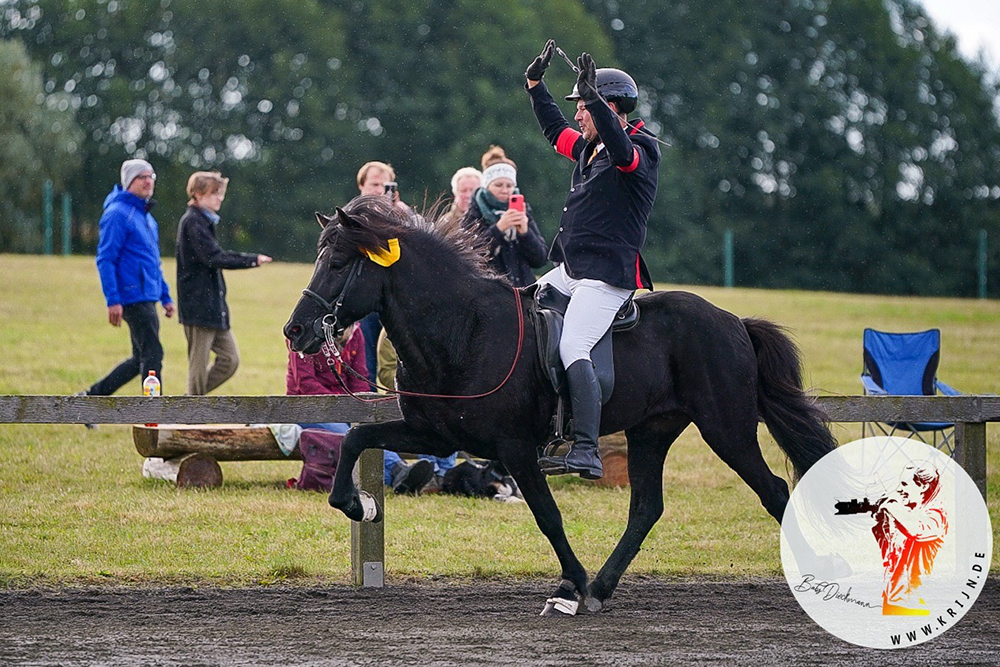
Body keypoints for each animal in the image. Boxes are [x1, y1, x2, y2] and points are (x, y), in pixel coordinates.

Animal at [284, 194, 836, 616]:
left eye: (338, 263)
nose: (296, 330)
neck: (463, 328)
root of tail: (733, 321)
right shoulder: (436, 435)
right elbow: (357, 438)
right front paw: (358, 503)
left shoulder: (514, 448)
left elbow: (547, 516)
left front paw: (571, 584)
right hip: (653, 430)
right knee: (647, 507)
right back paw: (605, 587)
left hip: (727, 429)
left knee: (774, 491)